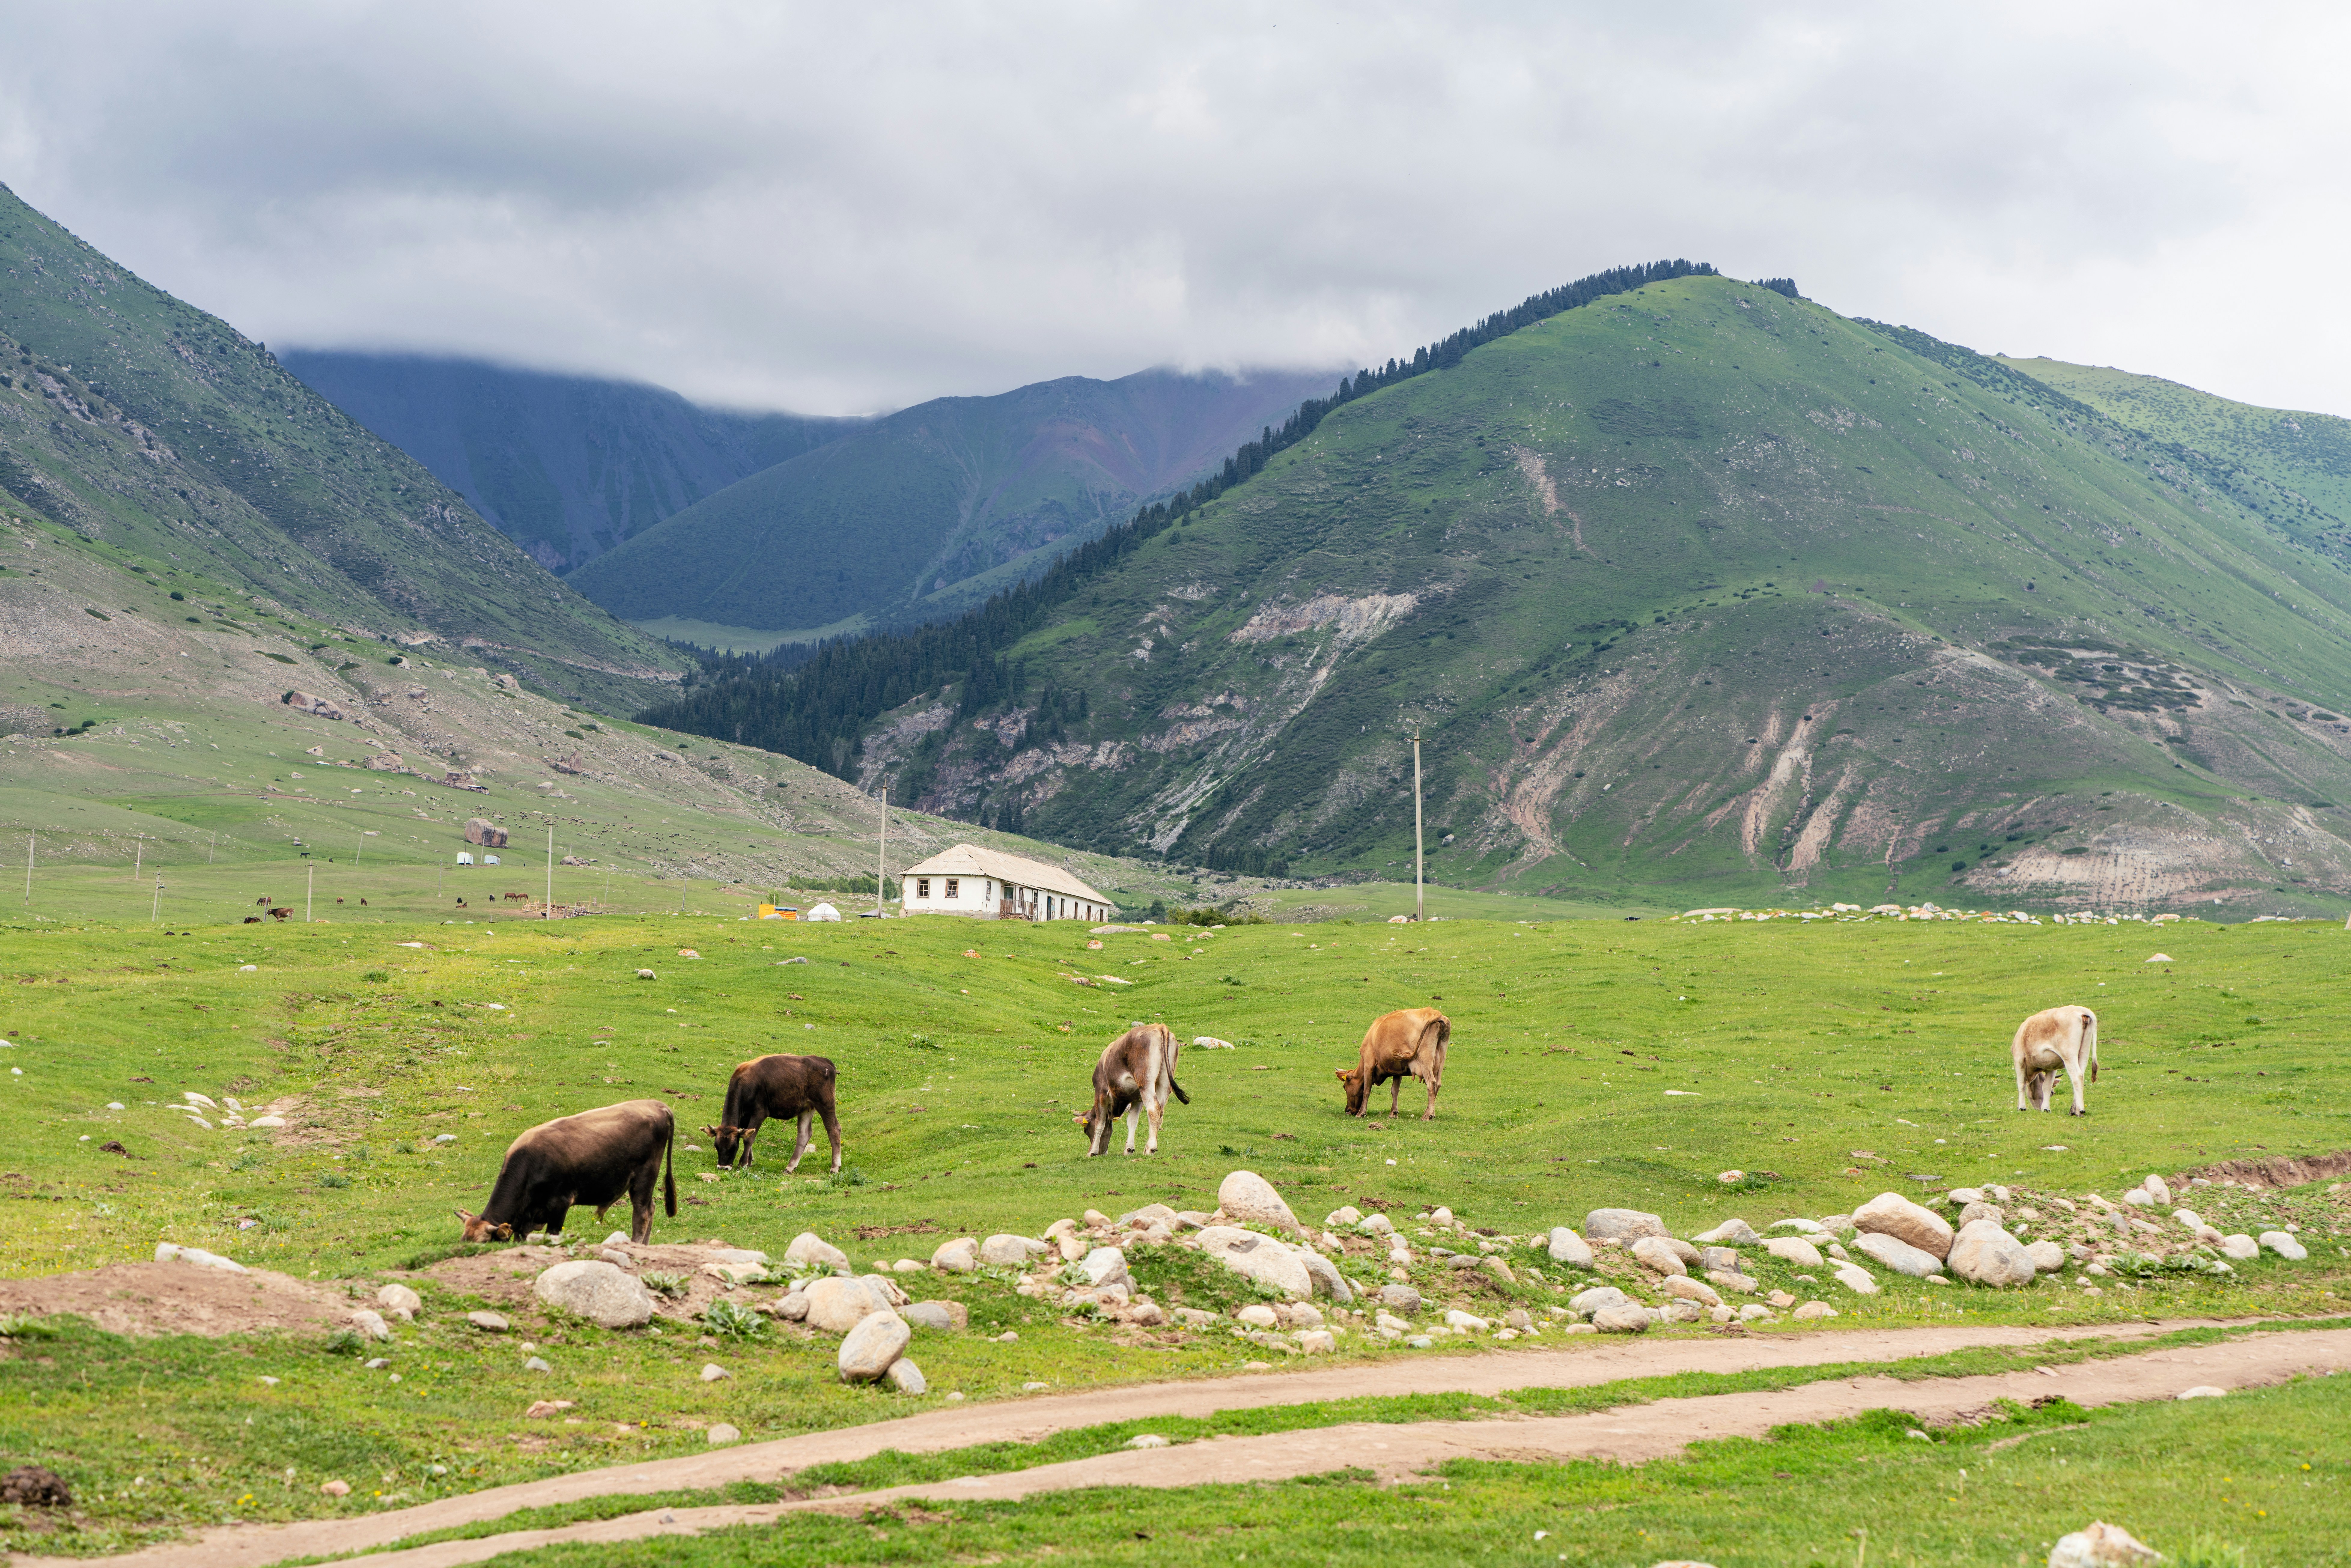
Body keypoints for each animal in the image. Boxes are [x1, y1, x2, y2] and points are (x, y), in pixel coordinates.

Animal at [456, 1098, 676, 1244]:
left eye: (483, 1243)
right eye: (463, 1240)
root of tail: (657, 1105)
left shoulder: (560, 1204)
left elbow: (552, 1236)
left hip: (645, 1177)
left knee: (642, 1213)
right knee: (651, 1208)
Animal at [703, 1054, 842, 1173]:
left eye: (734, 1147)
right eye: (716, 1146)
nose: (723, 1167)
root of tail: (825, 1062)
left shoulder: (759, 1113)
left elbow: (749, 1139)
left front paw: (743, 1164)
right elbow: (750, 1134)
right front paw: (750, 1161)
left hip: (825, 1103)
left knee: (834, 1130)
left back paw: (835, 1167)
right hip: (807, 1108)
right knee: (804, 1134)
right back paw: (790, 1167)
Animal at [1076, 1024, 1187, 1156]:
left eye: (1086, 1130)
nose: (1103, 1152)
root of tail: (1160, 1027)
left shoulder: (1101, 1092)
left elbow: (1100, 1123)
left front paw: (1092, 1152)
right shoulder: (1137, 1099)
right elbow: (1132, 1121)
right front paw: (1129, 1149)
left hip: (1146, 1083)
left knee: (1154, 1109)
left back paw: (1151, 1148)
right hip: (1164, 1084)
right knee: (1160, 1112)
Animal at [1335, 1007, 1450, 1120]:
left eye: (1345, 1086)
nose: (1348, 1110)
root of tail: (1435, 1013)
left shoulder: (1369, 1064)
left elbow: (1367, 1090)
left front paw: (1362, 1113)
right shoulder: (1398, 1070)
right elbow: (1395, 1091)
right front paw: (1393, 1113)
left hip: (1425, 1059)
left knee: (1431, 1083)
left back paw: (1428, 1115)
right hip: (1442, 1056)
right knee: (1438, 1084)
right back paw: (1430, 1113)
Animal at [2013, 1004, 2099, 1114]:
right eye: (2052, 1094)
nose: (2038, 1109)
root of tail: (2081, 1010)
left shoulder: (2019, 1059)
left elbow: (2021, 1084)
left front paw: (2022, 1108)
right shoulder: (2052, 1067)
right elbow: (2047, 1086)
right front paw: (2046, 1109)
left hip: (2069, 1054)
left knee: (2077, 1076)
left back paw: (2080, 1110)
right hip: (2084, 1051)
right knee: (2082, 1074)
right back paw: (2073, 1110)